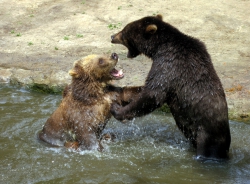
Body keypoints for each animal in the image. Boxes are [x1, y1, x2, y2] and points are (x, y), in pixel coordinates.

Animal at [110, 14, 231, 160]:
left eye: (124, 32)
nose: (112, 36)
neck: (159, 47)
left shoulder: (169, 65)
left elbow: (153, 93)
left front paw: (117, 109)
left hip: (207, 135)